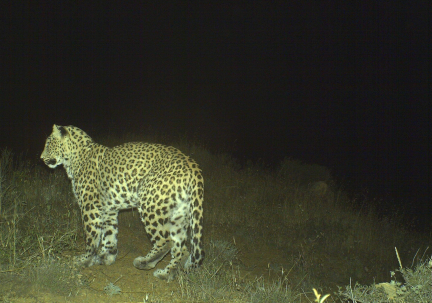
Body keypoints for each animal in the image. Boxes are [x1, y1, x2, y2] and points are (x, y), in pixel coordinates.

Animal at [39, 124, 205, 282]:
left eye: (49, 143)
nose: (41, 158)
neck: (75, 158)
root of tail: (193, 165)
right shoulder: (109, 210)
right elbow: (109, 234)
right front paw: (107, 256)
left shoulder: (90, 207)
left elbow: (91, 237)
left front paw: (85, 260)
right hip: (179, 215)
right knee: (181, 247)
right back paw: (168, 273)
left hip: (150, 205)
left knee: (166, 241)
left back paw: (145, 262)